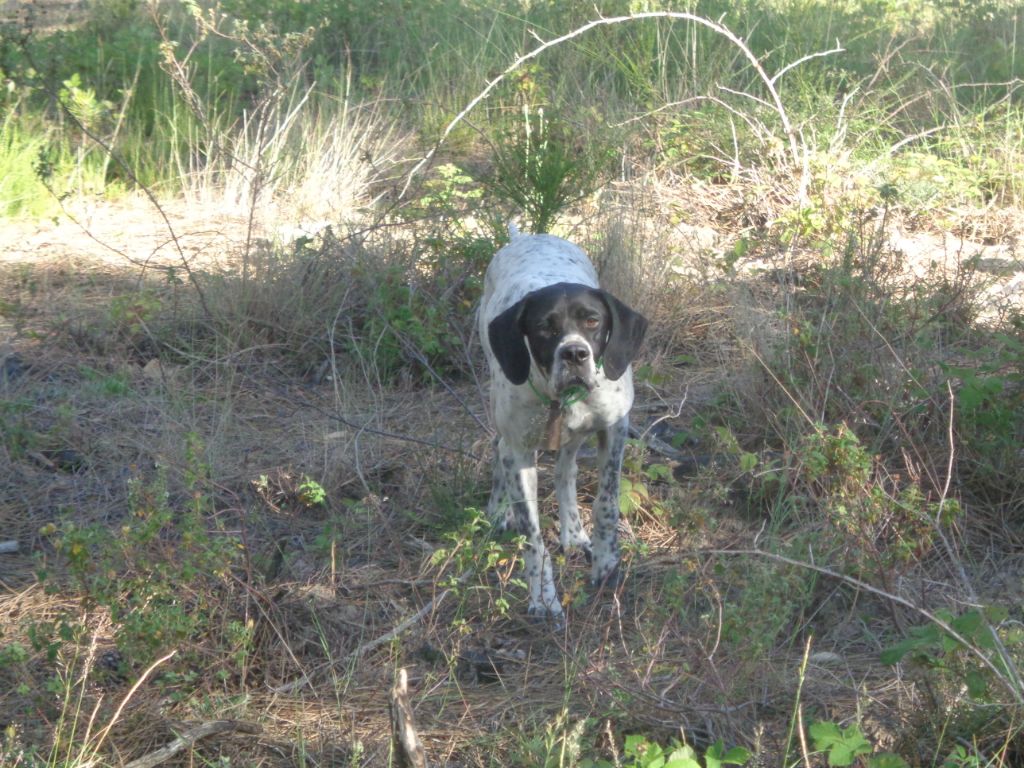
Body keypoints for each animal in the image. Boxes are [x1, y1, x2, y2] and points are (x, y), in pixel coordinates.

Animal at [479, 228, 647, 626]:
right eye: (544, 327)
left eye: (592, 321)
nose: (574, 354)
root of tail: (525, 236)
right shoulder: (520, 453)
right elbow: (532, 536)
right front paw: (542, 596)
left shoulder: (614, 430)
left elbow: (606, 505)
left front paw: (606, 566)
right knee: (498, 450)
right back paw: (498, 510)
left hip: (575, 436)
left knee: (564, 470)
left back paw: (573, 532)